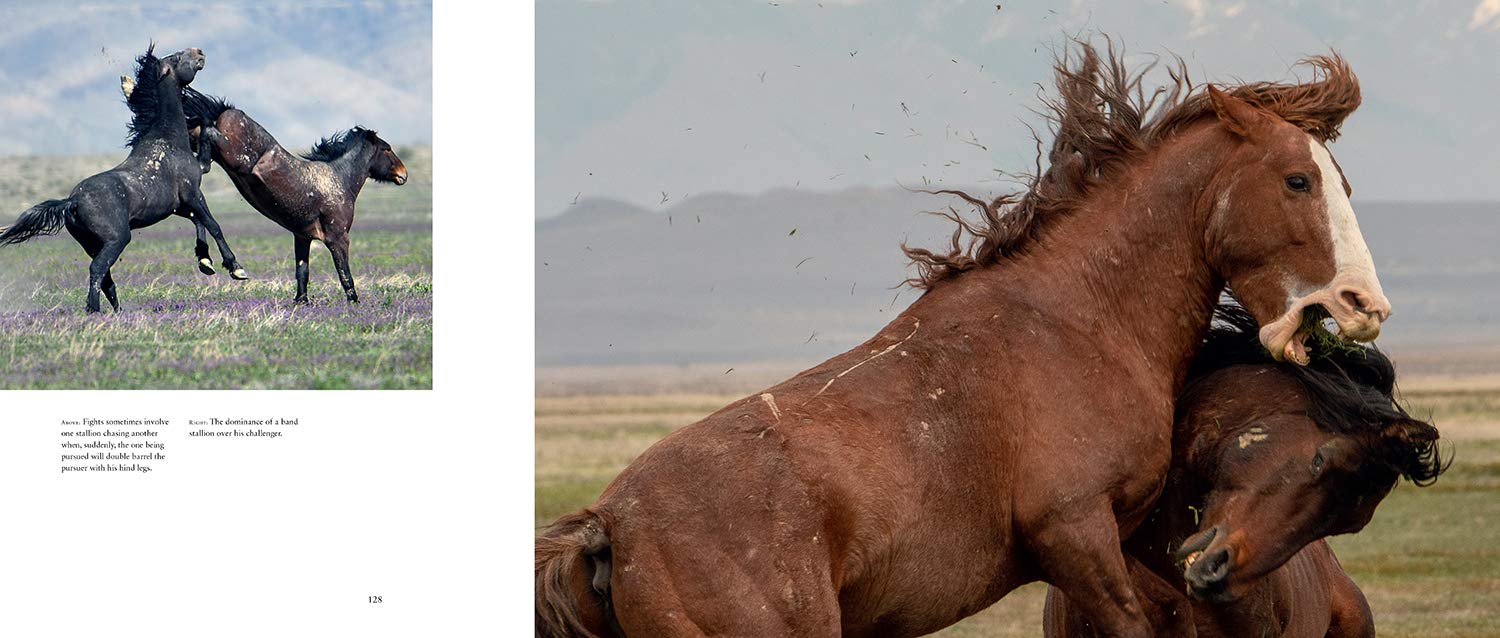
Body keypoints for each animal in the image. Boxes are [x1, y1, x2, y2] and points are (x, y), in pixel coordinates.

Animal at [0, 45, 247, 313]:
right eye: (177, 58)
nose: (199, 51)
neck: (167, 137)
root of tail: (71, 201)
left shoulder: (179, 205)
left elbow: (198, 221)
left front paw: (204, 260)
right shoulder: (192, 192)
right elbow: (213, 225)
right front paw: (234, 267)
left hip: (91, 243)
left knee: (106, 277)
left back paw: (115, 313)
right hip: (116, 239)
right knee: (98, 270)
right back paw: (94, 311)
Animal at [174, 88, 407, 304]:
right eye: (387, 149)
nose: (403, 174)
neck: (340, 180)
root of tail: (228, 111)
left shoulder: (302, 237)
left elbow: (302, 272)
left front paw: (301, 301)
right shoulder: (338, 238)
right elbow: (345, 275)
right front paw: (354, 303)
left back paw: (206, 260)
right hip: (231, 154)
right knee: (208, 133)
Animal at [536, 41, 1392, 638]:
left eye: (1344, 184)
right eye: (1297, 181)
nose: (1363, 305)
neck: (1080, 322)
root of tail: (609, 525)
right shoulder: (1076, 535)